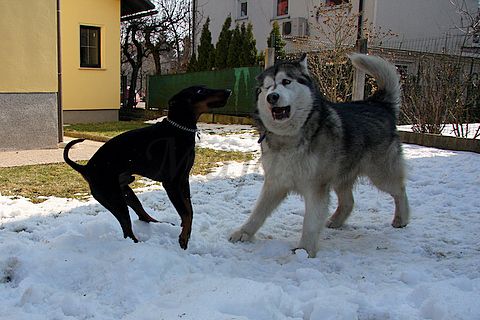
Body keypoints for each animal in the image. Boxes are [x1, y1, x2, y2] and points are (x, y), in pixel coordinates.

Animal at [63, 86, 231, 249]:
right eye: (200, 91)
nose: (228, 91)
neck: (179, 130)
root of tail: (86, 168)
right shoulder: (171, 184)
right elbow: (185, 213)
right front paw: (183, 239)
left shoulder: (183, 180)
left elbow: (189, 210)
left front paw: (186, 232)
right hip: (115, 200)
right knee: (127, 230)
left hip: (126, 193)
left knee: (142, 215)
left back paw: (160, 223)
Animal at [231, 52, 410, 258]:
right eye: (267, 87)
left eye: (286, 81)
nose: (272, 97)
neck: (289, 139)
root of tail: (379, 103)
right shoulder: (275, 182)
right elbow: (258, 212)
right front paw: (244, 233)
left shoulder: (316, 187)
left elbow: (310, 222)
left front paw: (304, 249)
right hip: (342, 175)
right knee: (349, 201)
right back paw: (336, 221)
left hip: (381, 173)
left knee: (400, 190)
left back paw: (402, 218)